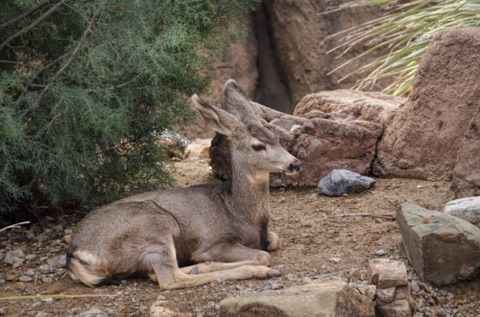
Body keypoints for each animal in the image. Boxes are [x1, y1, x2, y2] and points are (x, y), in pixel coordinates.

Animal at [66, 79, 300, 288]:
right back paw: (254, 270)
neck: (239, 212)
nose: (295, 163)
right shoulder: (212, 241)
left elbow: (275, 240)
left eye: (277, 138)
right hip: (154, 226)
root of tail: (75, 251)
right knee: (169, 279)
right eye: (258, 146)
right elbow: (262, 255)